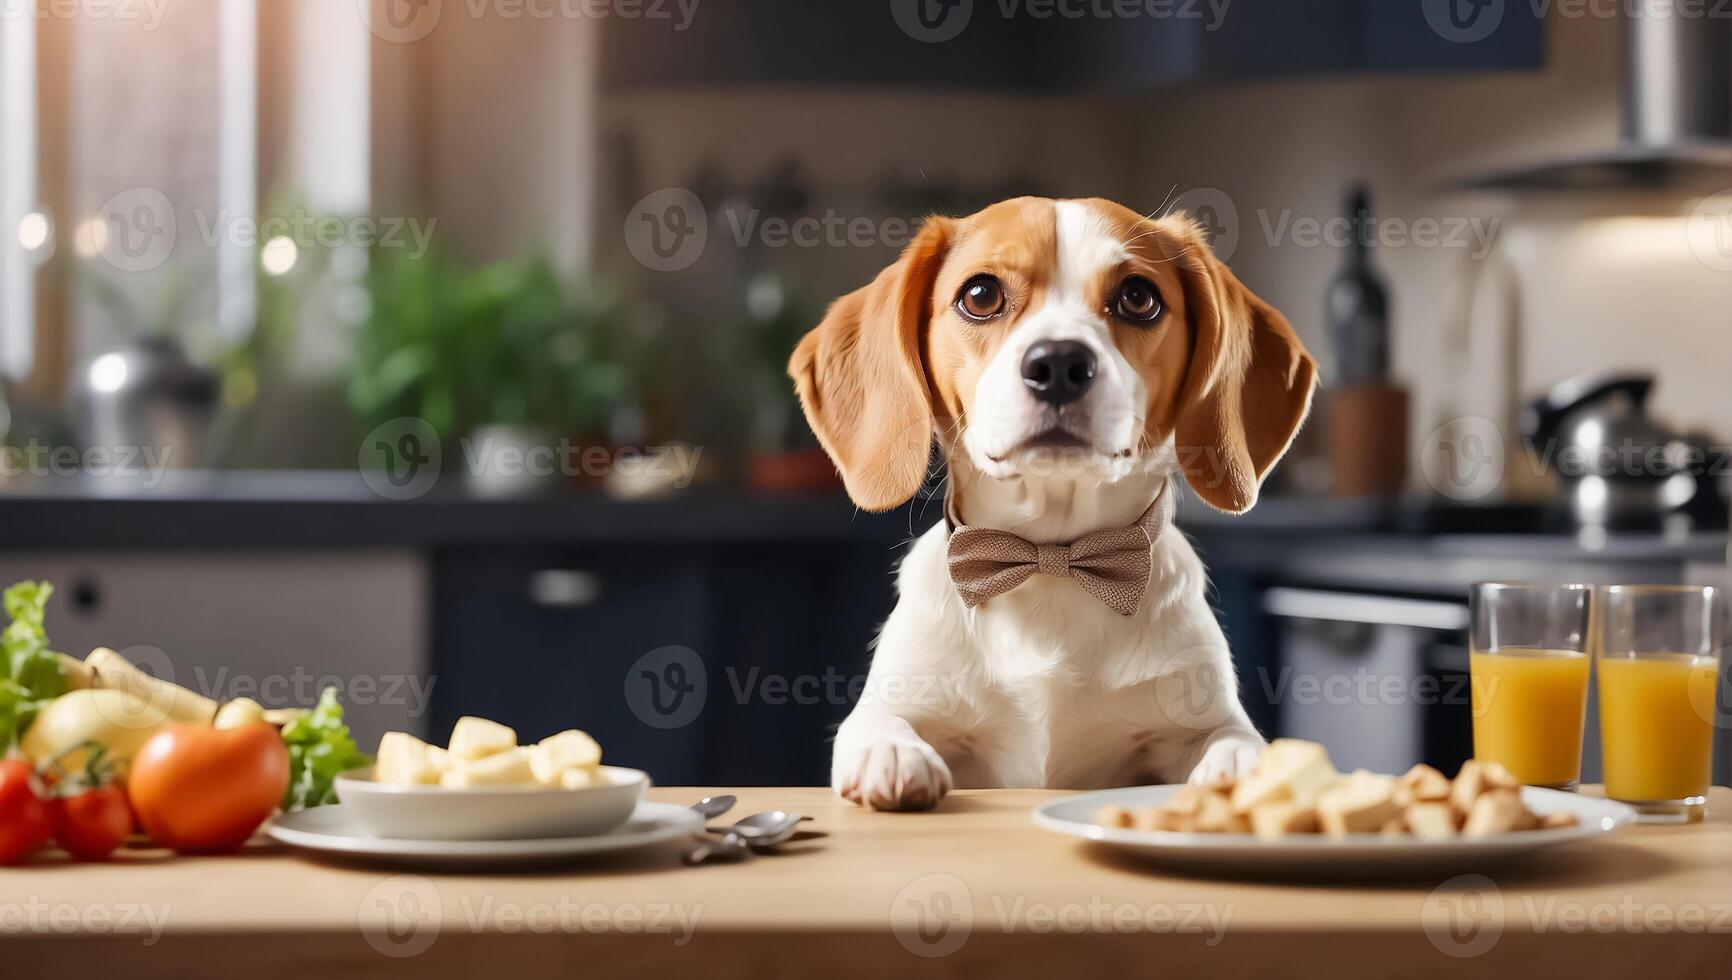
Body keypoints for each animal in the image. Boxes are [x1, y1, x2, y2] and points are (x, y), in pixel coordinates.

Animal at [793, 195, 1316, 810]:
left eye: (1138, 297)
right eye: (980, 295)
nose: (1060, 363)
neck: (1052, 561)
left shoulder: (1199, 714)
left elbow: (1236, 737)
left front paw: (1244, 768)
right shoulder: (902, 698)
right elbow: (875, 723)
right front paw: (892, 753)